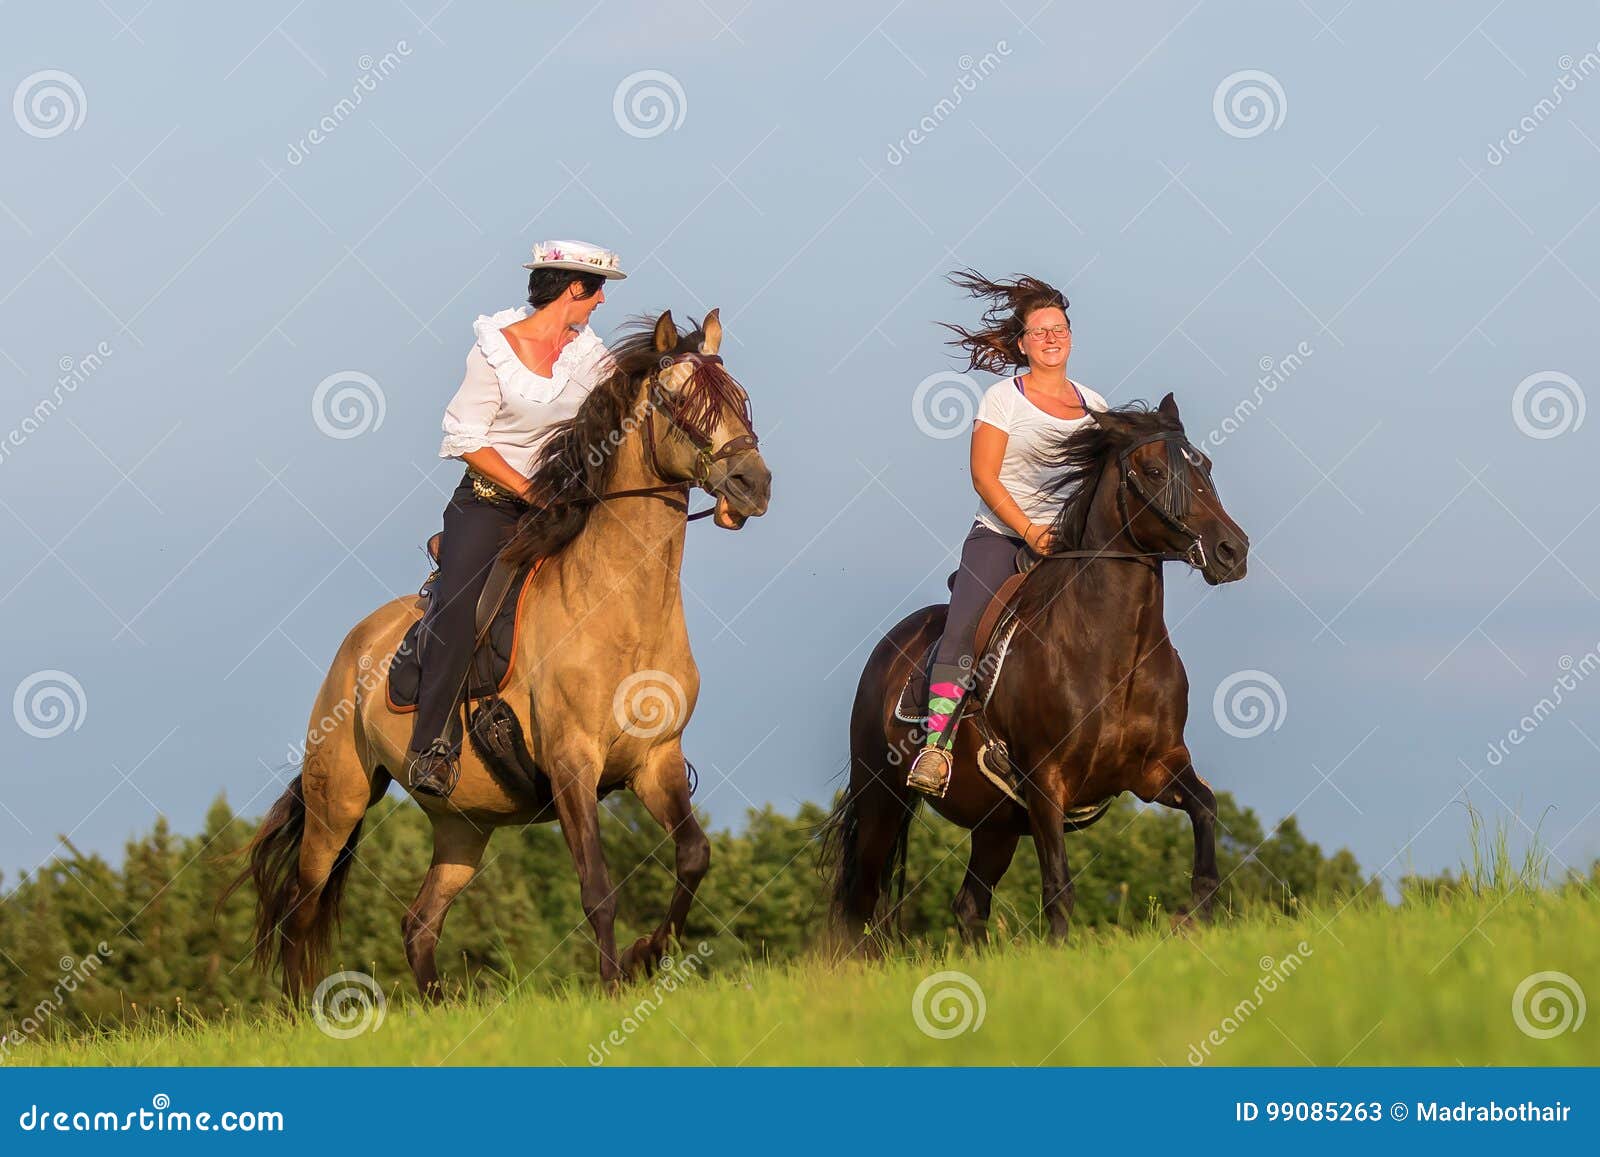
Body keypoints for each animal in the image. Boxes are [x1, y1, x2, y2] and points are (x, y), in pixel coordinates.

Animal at [230, 310, 768, 1004]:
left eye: (740, 399)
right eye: (679, 403)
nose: (753, 486)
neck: (624, 609)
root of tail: (355, 646)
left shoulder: (657, 761)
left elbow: (694, 856)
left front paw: (647, 955)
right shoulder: (571, 764)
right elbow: (598, 888)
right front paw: (613, 984)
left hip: (463, 826)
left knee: (418, 922)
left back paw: (437, 1008)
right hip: (338, 801)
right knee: (302, 907)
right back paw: (304, 1010)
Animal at [825, 395, 1248, 947]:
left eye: (1207, 467)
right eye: (1155, 471)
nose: (1232, 551)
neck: (1114, 655)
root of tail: (888, 648)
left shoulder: (1157, 769)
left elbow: (1206, 812)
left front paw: (1196, 916)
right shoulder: (1047, 782)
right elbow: (1058, 887)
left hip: (995, 824)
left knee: (969, 905)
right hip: (882, 799)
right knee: (860, 905)